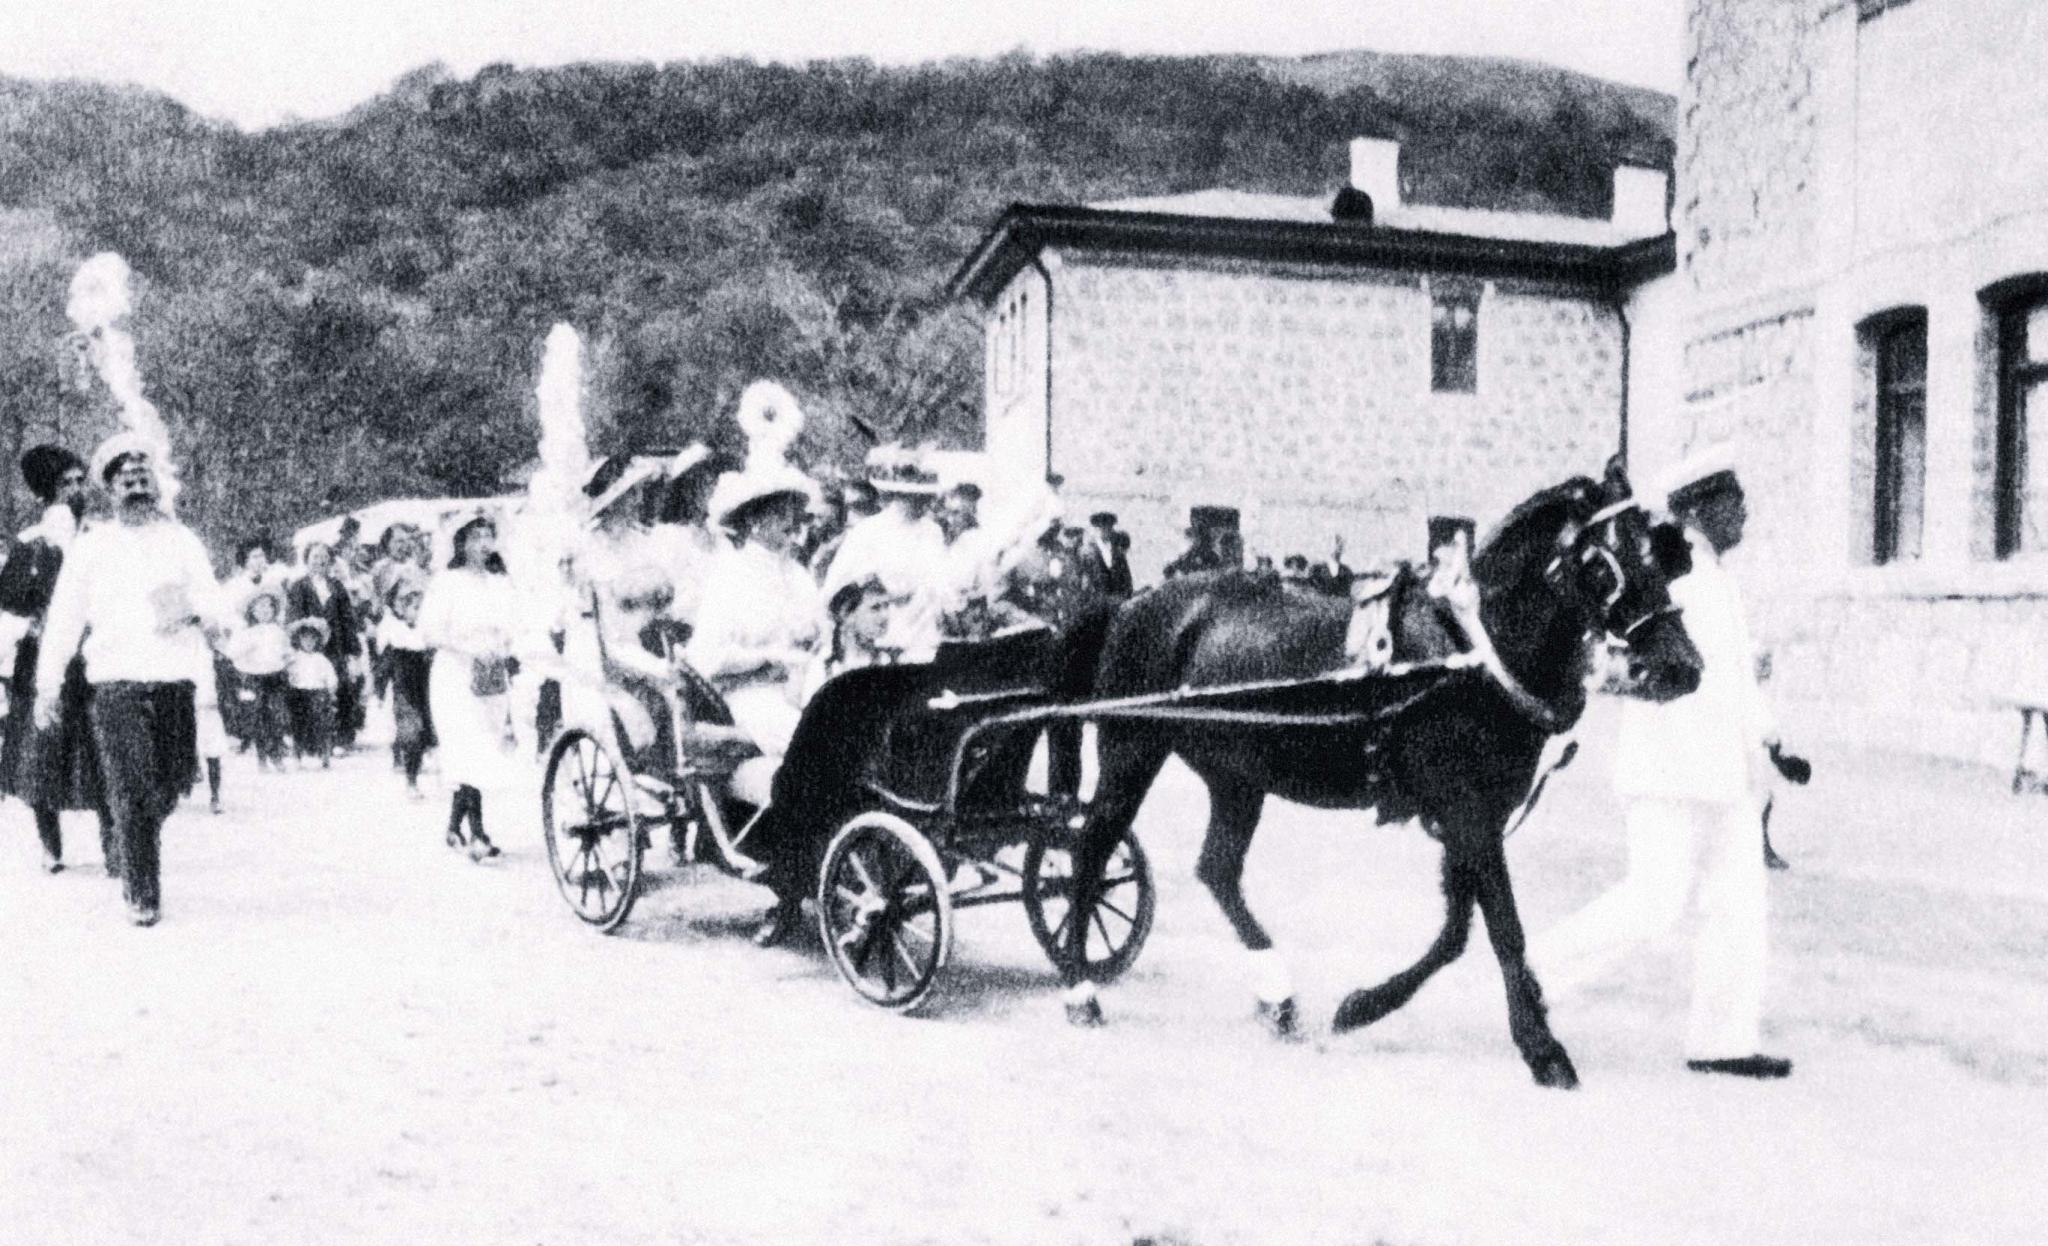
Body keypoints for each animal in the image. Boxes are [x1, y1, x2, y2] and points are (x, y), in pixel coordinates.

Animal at [1055, 473, 1702, 1089]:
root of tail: (1130, 604)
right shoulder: (1468, 811)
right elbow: (1503, 929)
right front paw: (1543, 1048)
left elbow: (1456, 931)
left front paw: (1362, 1006)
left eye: (1662, 553)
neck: (1470, 654)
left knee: (1217, 868)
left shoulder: (1473, 815)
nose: (1683, 668)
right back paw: (1080, 989)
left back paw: (1277, 994)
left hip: (1236, 775)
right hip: (1132, 750)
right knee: (1091, 852)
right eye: (1602, 563)